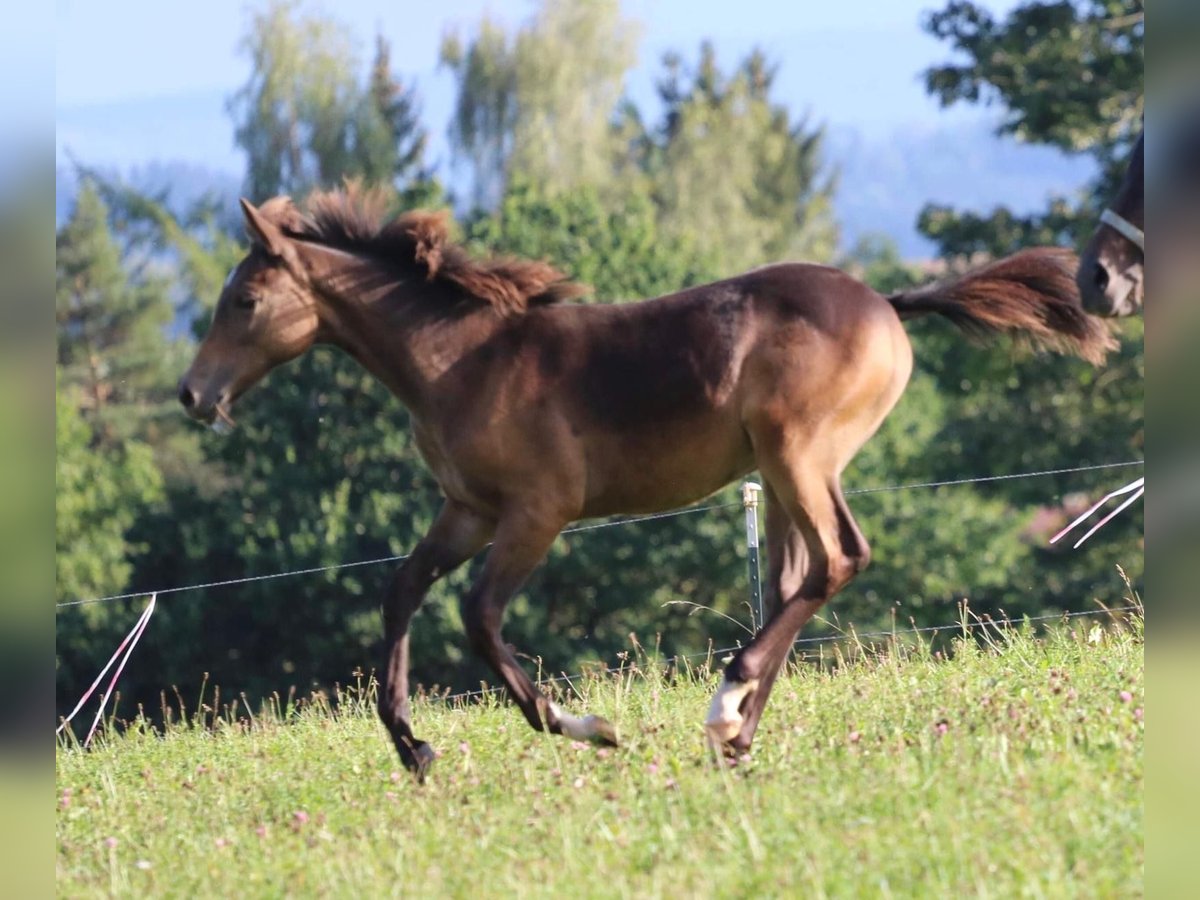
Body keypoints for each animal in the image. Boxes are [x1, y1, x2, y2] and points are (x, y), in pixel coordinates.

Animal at [180, 187, 1113, 777]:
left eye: (243, 301)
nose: (192, 395)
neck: (463, 358)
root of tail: (886, 303)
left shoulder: (537, 513)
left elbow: (478, 616)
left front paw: (583, 726)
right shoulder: (468, 511)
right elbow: (402, 592)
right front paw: (413, 747)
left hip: (800, 456)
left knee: (841, 559)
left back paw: (726, 705)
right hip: (778, 475)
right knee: (799, 579)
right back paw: (736, 734)